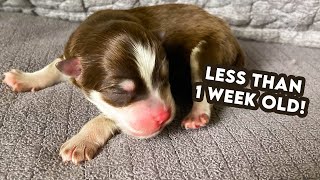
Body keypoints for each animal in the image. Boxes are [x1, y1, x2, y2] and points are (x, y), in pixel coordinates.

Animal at [1, 4, 245, 165]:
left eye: (165, 77)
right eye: (119, 93)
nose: (164, 116)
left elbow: (107, 116)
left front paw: (81, 141)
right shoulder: (69, 57)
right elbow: (54, 66)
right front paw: (24, 78)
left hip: (208, 50)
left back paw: (197, 114)